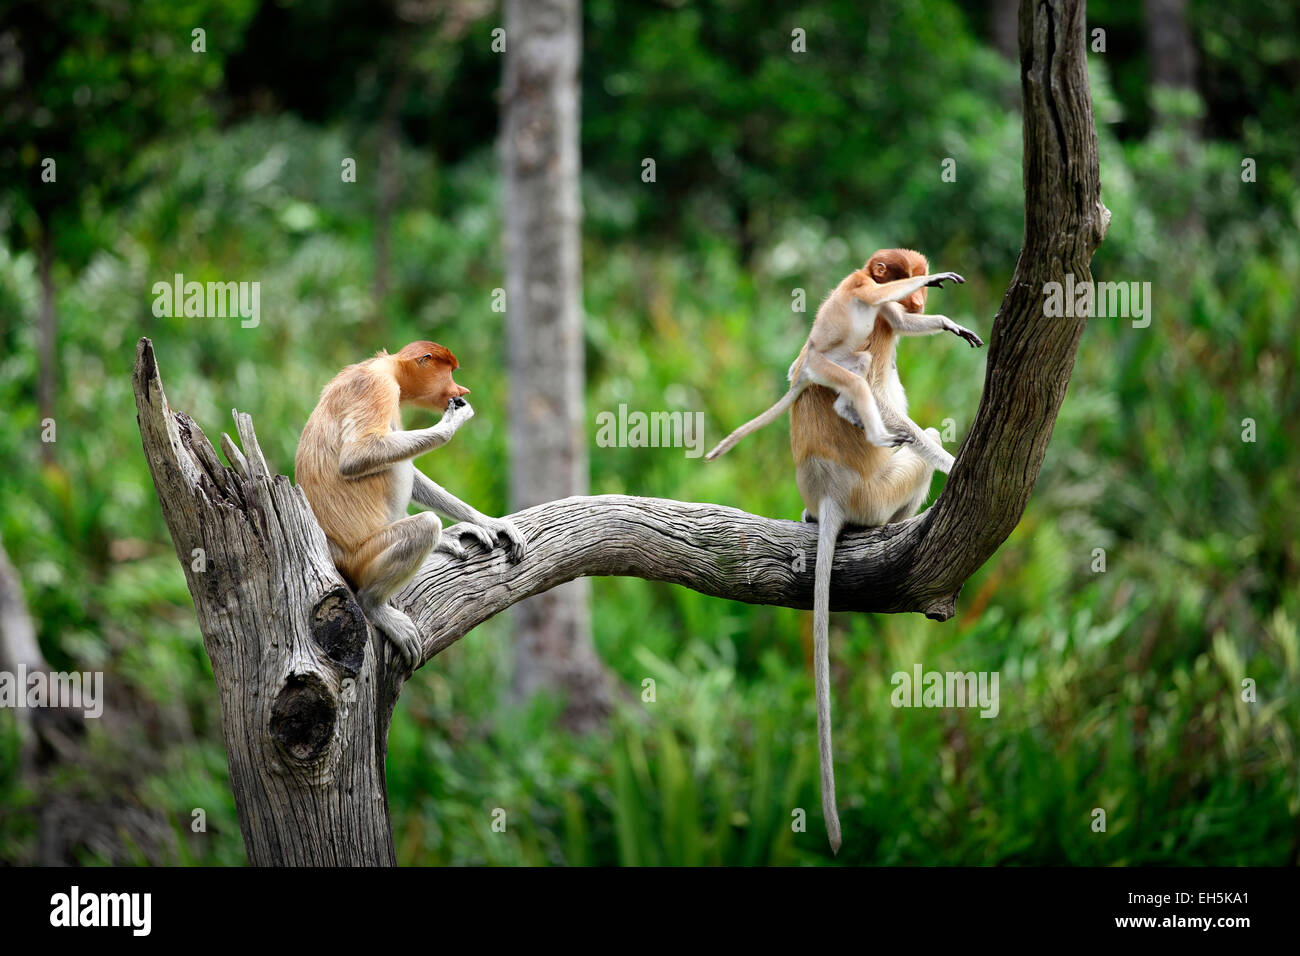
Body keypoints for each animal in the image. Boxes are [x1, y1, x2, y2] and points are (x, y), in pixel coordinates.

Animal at [297, 343, 525, 671]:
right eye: (449, 372)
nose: (462, 390)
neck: (388, 368)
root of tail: (333, 552)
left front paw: (488, 522)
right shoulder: (378, 388)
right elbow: (357, 457)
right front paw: (451, 424)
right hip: (362, 557)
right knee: (424, 523)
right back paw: (375, 605)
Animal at [785, 247, 977, 853]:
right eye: (904, 276)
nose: (917, 297)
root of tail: (830, 494)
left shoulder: (886, 316)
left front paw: (944, 321)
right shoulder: (867, 330)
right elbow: (876, 402)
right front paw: (953, 464)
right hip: (878, 491)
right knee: (909, 440)